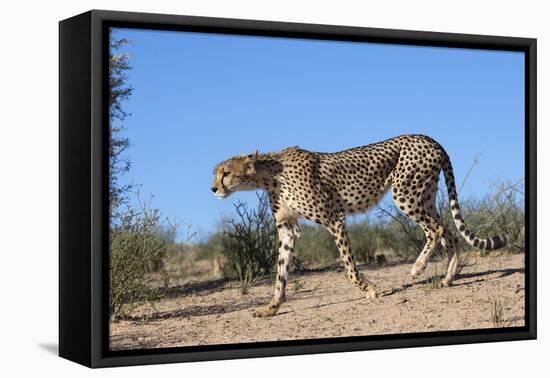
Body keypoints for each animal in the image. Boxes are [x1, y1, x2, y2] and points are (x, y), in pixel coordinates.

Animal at [211, 134, 508, 318]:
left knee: (435, 231)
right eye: (216, 173)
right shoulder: (287, 229)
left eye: (226, 173)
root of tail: (428, 138)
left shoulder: (334, 219)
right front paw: (271, 308)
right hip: (424, 196)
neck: (269, 175)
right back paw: (447, 279)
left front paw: (369, 289)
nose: (213, 188)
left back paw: (418, 267)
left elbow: (349, 268)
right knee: (450, 234)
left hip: (406, 194)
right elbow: (280, 273)